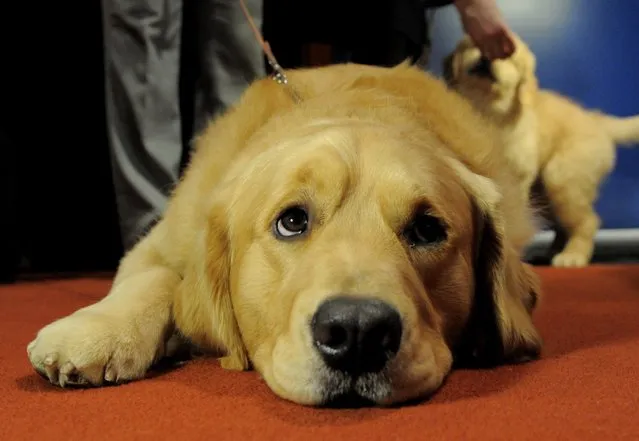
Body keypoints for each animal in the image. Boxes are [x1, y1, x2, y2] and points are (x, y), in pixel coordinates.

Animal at [27, 62, 544, 406]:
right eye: (292, 221)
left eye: (427, 228)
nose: (358, 332)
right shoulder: (164, 239)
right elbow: (157, 279)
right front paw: (96, 331)